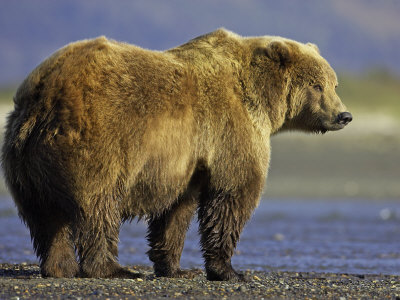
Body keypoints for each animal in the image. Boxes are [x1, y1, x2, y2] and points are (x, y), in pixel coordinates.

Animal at [1, 28, 352, 282]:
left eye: (334, 84)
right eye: (318, 85)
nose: (344, 115)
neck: (260, 98)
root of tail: (44, 95)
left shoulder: (187, 160)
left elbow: (176, 210)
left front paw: (177, 267)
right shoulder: (229, 129)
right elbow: (232, 194)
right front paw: (229, 271)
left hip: (25, 162)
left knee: (45, 218)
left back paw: (59, 267)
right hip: (97, 142)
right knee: (97, 207)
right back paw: (114, 269)